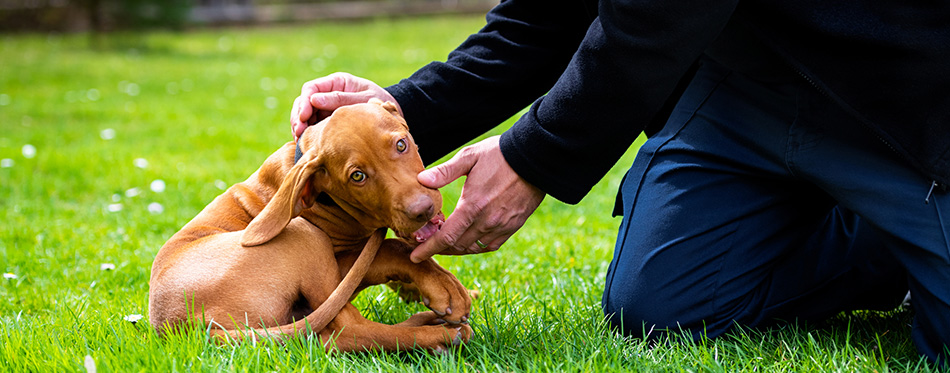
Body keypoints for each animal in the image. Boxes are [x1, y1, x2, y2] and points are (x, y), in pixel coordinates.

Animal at [148, 98, 472, 348]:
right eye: (358, 176)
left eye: (402, 145)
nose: (422, 210)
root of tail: (185, 327)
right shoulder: (344, 262)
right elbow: (392, 248)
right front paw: (444, 287)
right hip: (304, 235)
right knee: (346, 331)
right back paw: (441, 335)